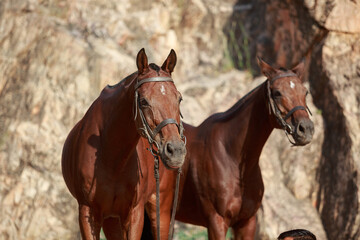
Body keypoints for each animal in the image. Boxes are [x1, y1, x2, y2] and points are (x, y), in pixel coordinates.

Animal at [61, 48, 186, 240]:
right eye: (143, 101)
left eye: (179, 98)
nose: (176, 151)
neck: (112, 157)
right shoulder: (87, 213)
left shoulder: (134, 214)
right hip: (111, 220)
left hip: (160, 211)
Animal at [139, 57, 314, 239]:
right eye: (277, 92)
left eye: (305, 92)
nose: (306, 129)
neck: (232, 157)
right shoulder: (217, 222)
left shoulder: (247, 223)